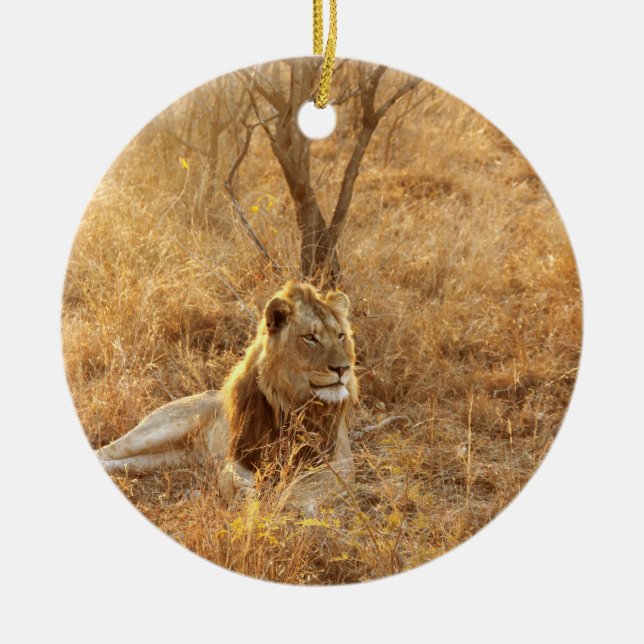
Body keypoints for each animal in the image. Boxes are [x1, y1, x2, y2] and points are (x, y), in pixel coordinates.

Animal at [95, 281, 358, 509]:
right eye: (309, 338)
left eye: (340, 336)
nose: (343, 369)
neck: (291, 402)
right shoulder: (241, 454)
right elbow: (228, 478)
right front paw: (246, 496)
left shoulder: (340, 461)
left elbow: (307, 485)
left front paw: (285, 502)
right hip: (155, 432)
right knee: (107, 450)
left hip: (170, 458)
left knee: (124, 463)